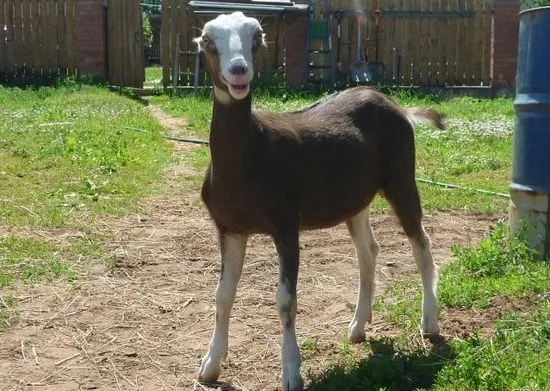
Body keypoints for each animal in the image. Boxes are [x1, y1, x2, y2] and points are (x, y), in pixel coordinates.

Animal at [196, 12, 446, 391]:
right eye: (209, 41)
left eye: (257, 37)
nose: (239, 70)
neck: (252, 153)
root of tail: (396, 105)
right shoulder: (229, 227)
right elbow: (222, 294)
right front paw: (210, 366)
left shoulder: (286, 225)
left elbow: (285, 301)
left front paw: (291, 372)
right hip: (355, 199)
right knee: (368, 251)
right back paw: (358, 327)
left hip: (402, 177)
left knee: (422, 243)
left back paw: (429, 324)